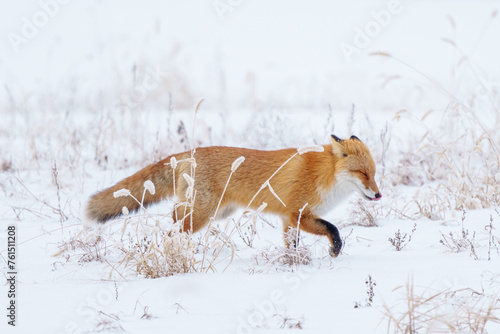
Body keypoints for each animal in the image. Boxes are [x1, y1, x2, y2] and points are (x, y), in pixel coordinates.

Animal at [87, 134, 382, 258]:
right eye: (362, 173)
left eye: (374, 173)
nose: (379, 195)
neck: (325, 174)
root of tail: (187, 154)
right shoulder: (298, 213)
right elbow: (333, 229)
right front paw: (335, 250)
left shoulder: (289, 219)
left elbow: (292, 245)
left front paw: (293, 263)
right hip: (201, 215)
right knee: (171, 228)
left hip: (213, 212)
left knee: (172, 219)